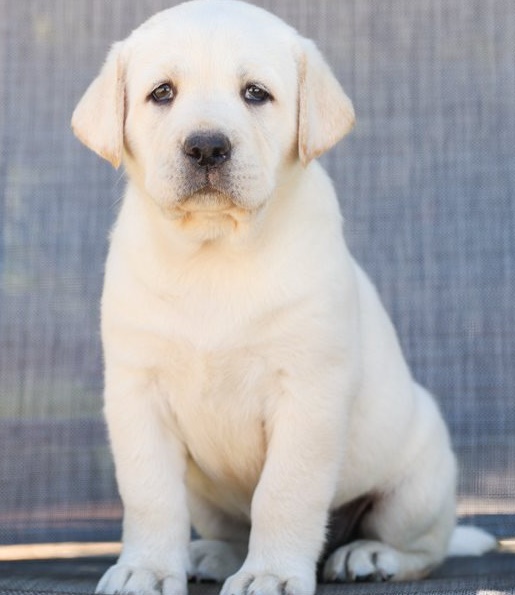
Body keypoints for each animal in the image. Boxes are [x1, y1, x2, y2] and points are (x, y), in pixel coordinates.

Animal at [72, 1, 496, 595]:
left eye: (255, 93)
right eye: (162, 93)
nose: (207, 145)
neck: (215, 254)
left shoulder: (308, 393)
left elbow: (283, 493)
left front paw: (269, 574)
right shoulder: (137, 392)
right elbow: (149, 494)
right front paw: (148, 568)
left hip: (417, 483)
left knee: (422, 547)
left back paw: (368, 555)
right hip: (207, 497)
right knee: (230, 527)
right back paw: (211, 555)